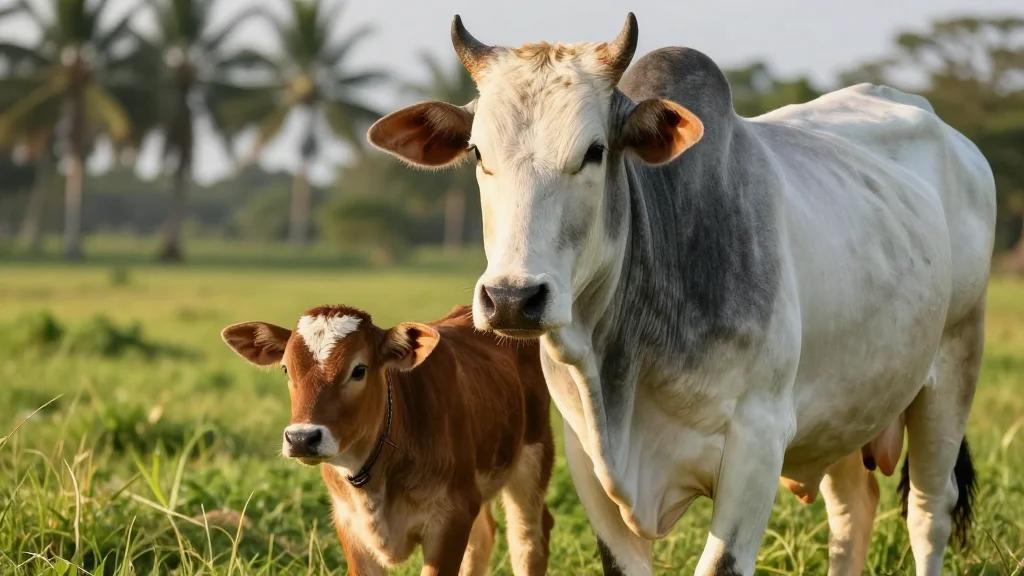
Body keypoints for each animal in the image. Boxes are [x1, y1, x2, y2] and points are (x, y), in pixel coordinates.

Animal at [221, 305, 555, 576]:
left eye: (359, 370)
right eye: (286, 368)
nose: (302, 438)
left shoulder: (450, 517)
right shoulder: (350, 525)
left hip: (532, 458)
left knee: (528, 539)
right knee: (483, 538)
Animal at [366, 13, 997, 576]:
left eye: (594, 151)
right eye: (477, 153)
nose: (512, 299)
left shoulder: (757, 443)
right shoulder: (587, 459)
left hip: (953, 370)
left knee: (928, 514)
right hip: (848, 408)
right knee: (852, 516)